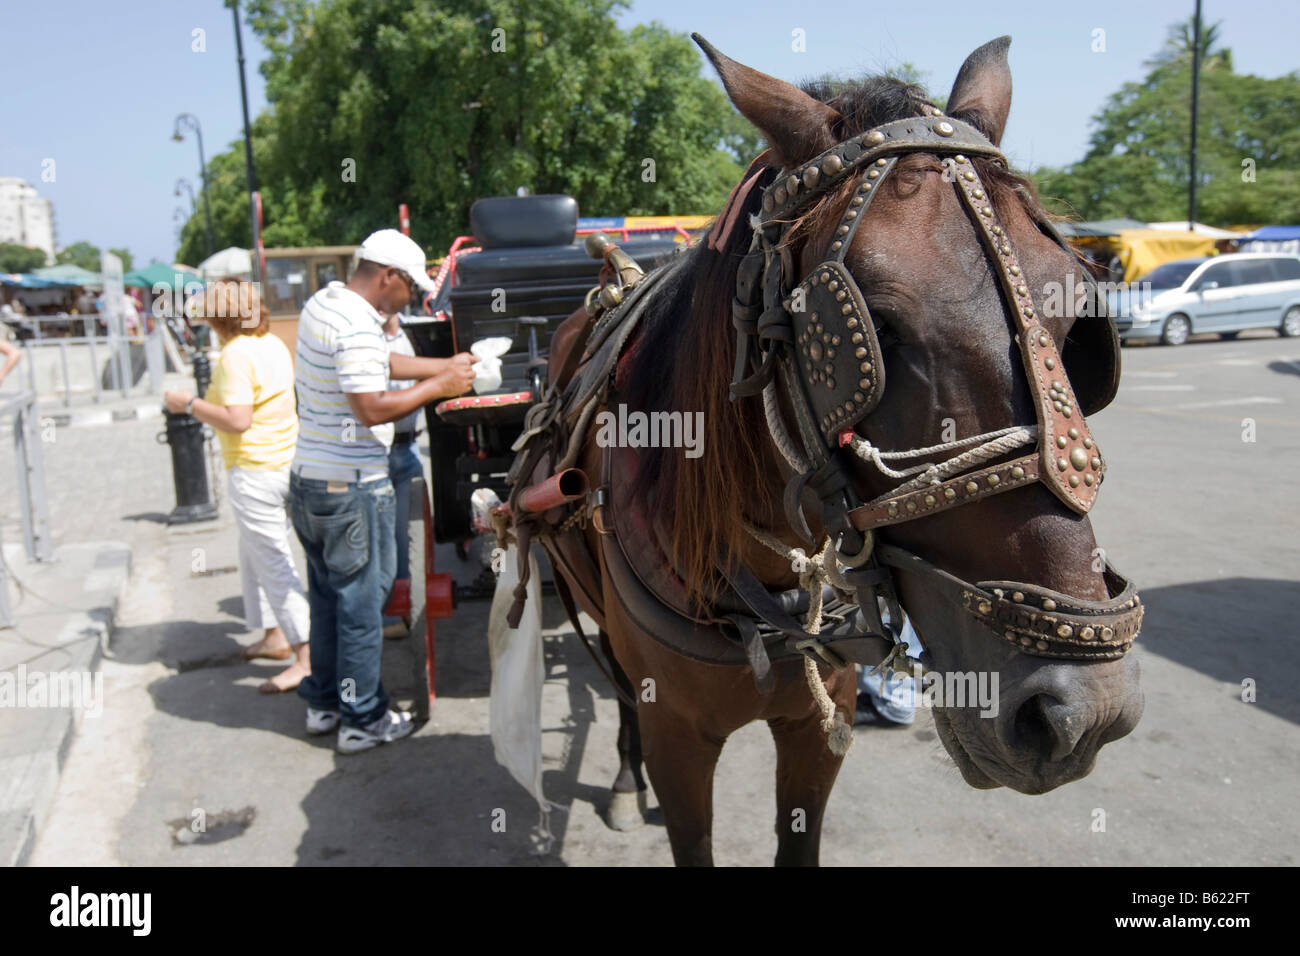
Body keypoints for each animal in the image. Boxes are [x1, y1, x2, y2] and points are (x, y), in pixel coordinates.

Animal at [501, 35, 1144, 868]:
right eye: (872, 330)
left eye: (1075, 316)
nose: (1084, 708)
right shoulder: (680, 741)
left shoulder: (818, 724)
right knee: (613, 684)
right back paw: (621, 778)